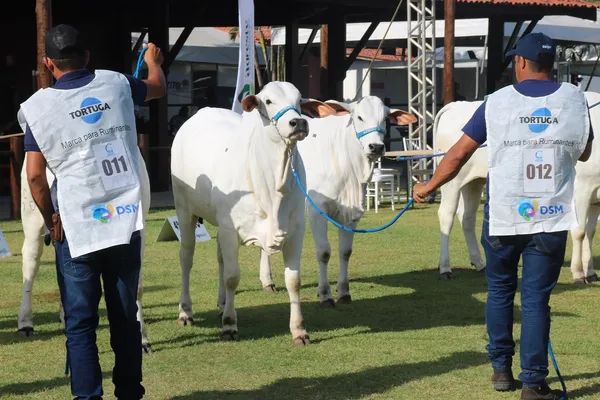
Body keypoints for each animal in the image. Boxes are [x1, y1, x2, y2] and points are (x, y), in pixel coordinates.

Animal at [18, 148, 152, 352]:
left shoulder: (139, 230)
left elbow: (136, 287)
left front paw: (143, 340)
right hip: (32, 218)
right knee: (30, 263)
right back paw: (25, 323)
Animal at [171, 82, 336, 344]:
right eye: (267, 101)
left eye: (300, 100)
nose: (298, 123)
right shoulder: (230, 230)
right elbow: (232, 277)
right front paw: (230, 325)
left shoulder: (296, 230)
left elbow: (294, 280)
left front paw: (299, 330)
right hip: (185, 210)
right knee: (186, 259)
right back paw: (186, 312)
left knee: (219, 259)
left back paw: (222, 304)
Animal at [258, 97, 418, 306]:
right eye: (359, 117)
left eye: (384, 118)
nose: (376, 147)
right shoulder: (317, 209)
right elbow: (324, 252)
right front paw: (325, 294)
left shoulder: (352, 214)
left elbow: (345, 251)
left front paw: (343, 292)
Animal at [436, 93, 600, 284]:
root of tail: (456, 105)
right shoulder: (582, 187)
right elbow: (580, 232)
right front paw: (579, 273)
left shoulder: (596, 197)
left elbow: (591, 232)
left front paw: (590, 272)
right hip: (452, 181)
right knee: (447, 216)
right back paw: (445, 268)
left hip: (474, 182)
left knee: (467, 217)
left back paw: (479, 263)